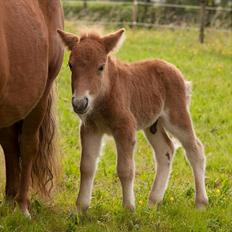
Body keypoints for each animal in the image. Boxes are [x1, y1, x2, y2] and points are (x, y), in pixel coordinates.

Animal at [57, 28, 208, 212]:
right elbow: (87, 166)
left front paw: (129, 208)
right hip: (153, 124)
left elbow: (125, 169)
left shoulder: (125, 128)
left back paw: (201, 203)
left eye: (101, 67)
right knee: (165, 150)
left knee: (195, 149)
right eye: (70, 65)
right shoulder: (90, 128)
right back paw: (153, 202)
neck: (104, 97)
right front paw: (81, 208)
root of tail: (176, 71)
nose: (80, 103)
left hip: (176, 116)